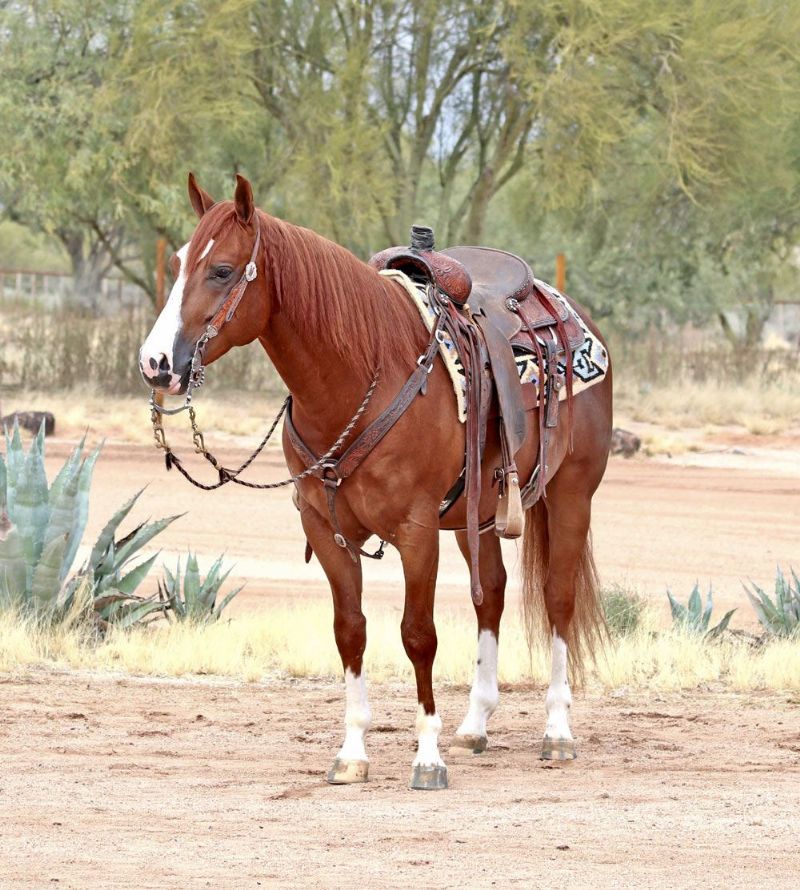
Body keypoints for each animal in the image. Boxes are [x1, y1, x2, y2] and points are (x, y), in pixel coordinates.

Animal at [139, 173, 613, 790]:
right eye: (175, 263)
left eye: (221, 269)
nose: (156, 363)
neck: (362, 374)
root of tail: (573, 316)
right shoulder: (325, 528)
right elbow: (351, 630)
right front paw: (352, 753)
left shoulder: (416, 530)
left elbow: (418, 635)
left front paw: (427, 757)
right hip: (479, 515)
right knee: (492, 592)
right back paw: (475, 725)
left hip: (571, 494)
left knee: (558, 597)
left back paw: (557, 731)